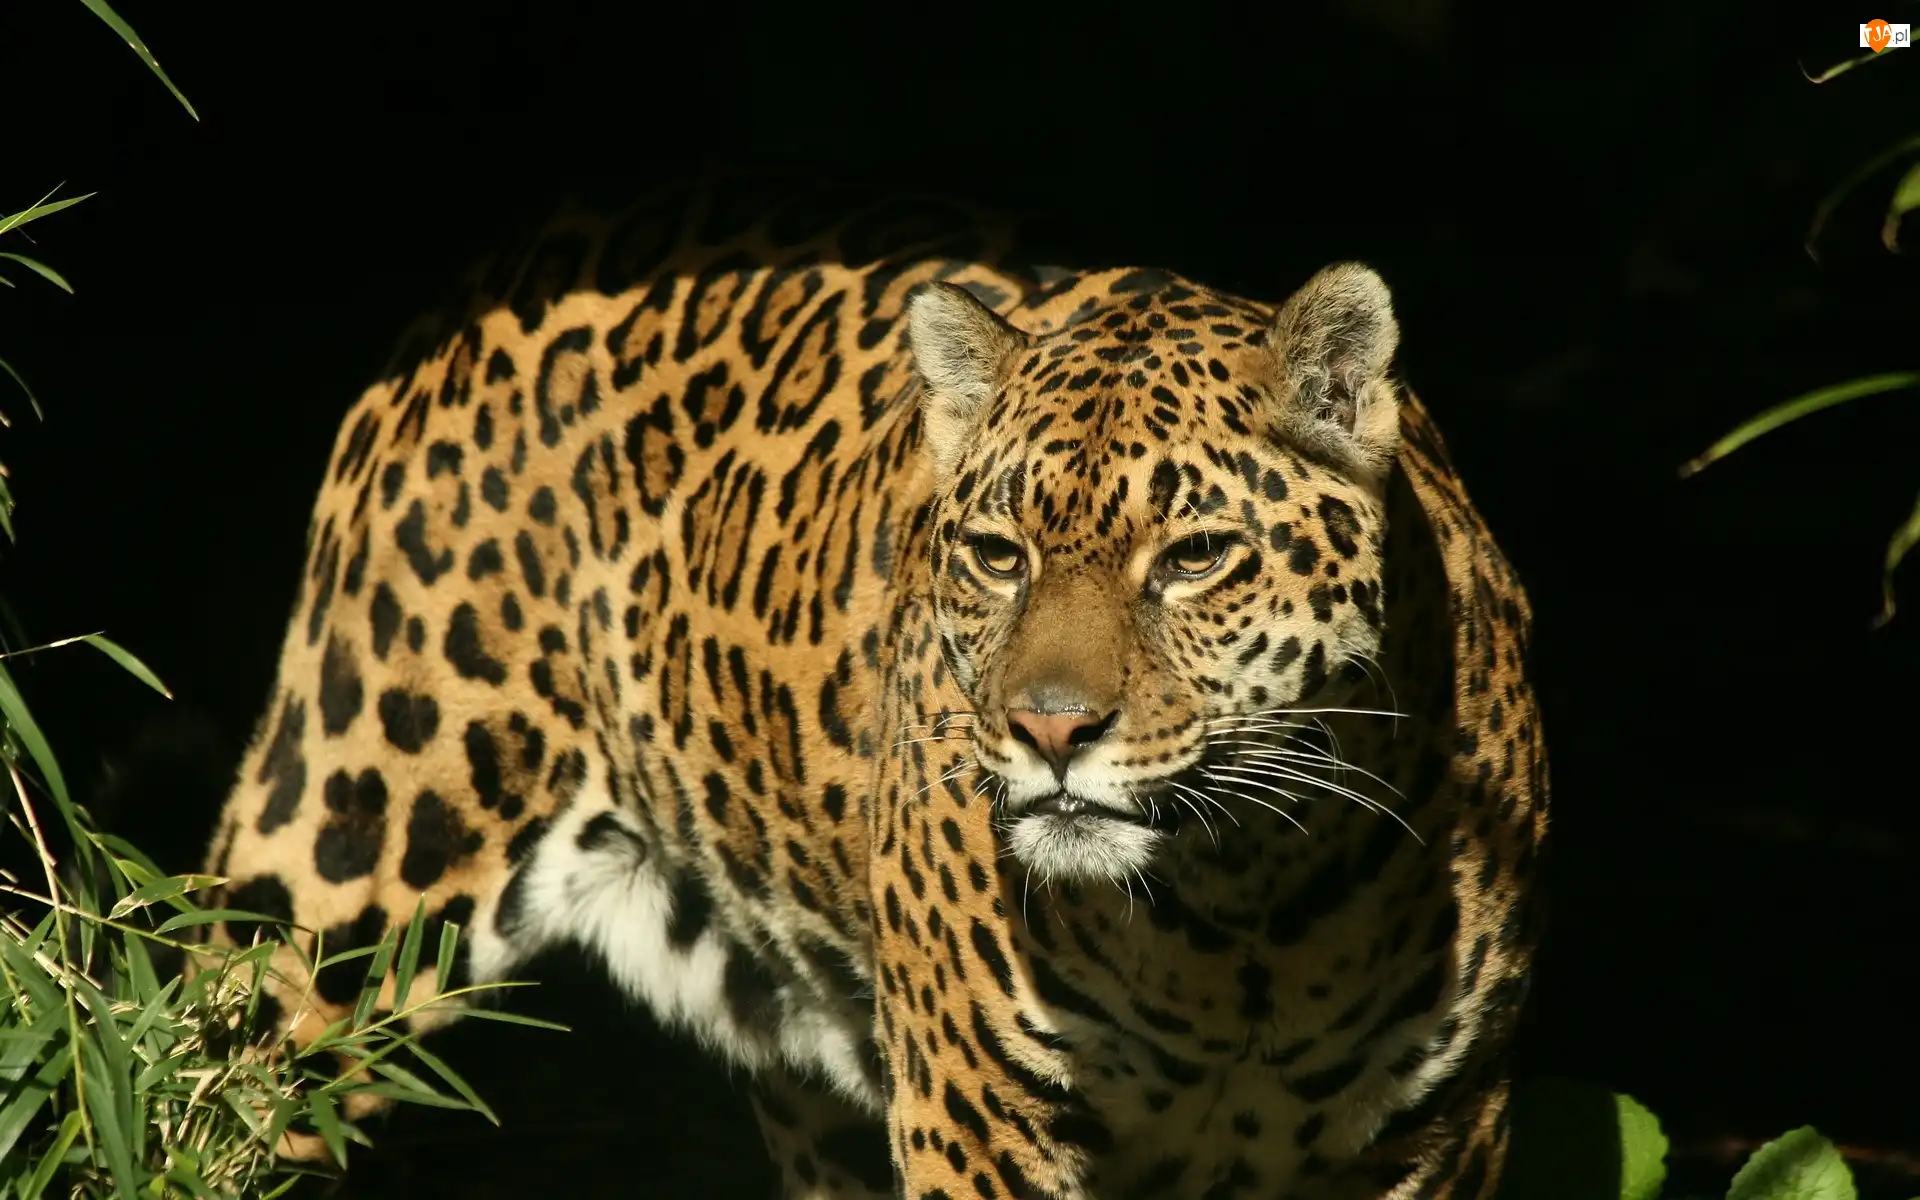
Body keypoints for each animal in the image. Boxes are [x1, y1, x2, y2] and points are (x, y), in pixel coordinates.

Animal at [199, 177, 1549, 1199]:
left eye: (1197, 555)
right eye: (998, 556)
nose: (1050, 730)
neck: (1246, 909)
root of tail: (515, 262)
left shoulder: (1441, 1136)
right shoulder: (981, 1122)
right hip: (340, 885)